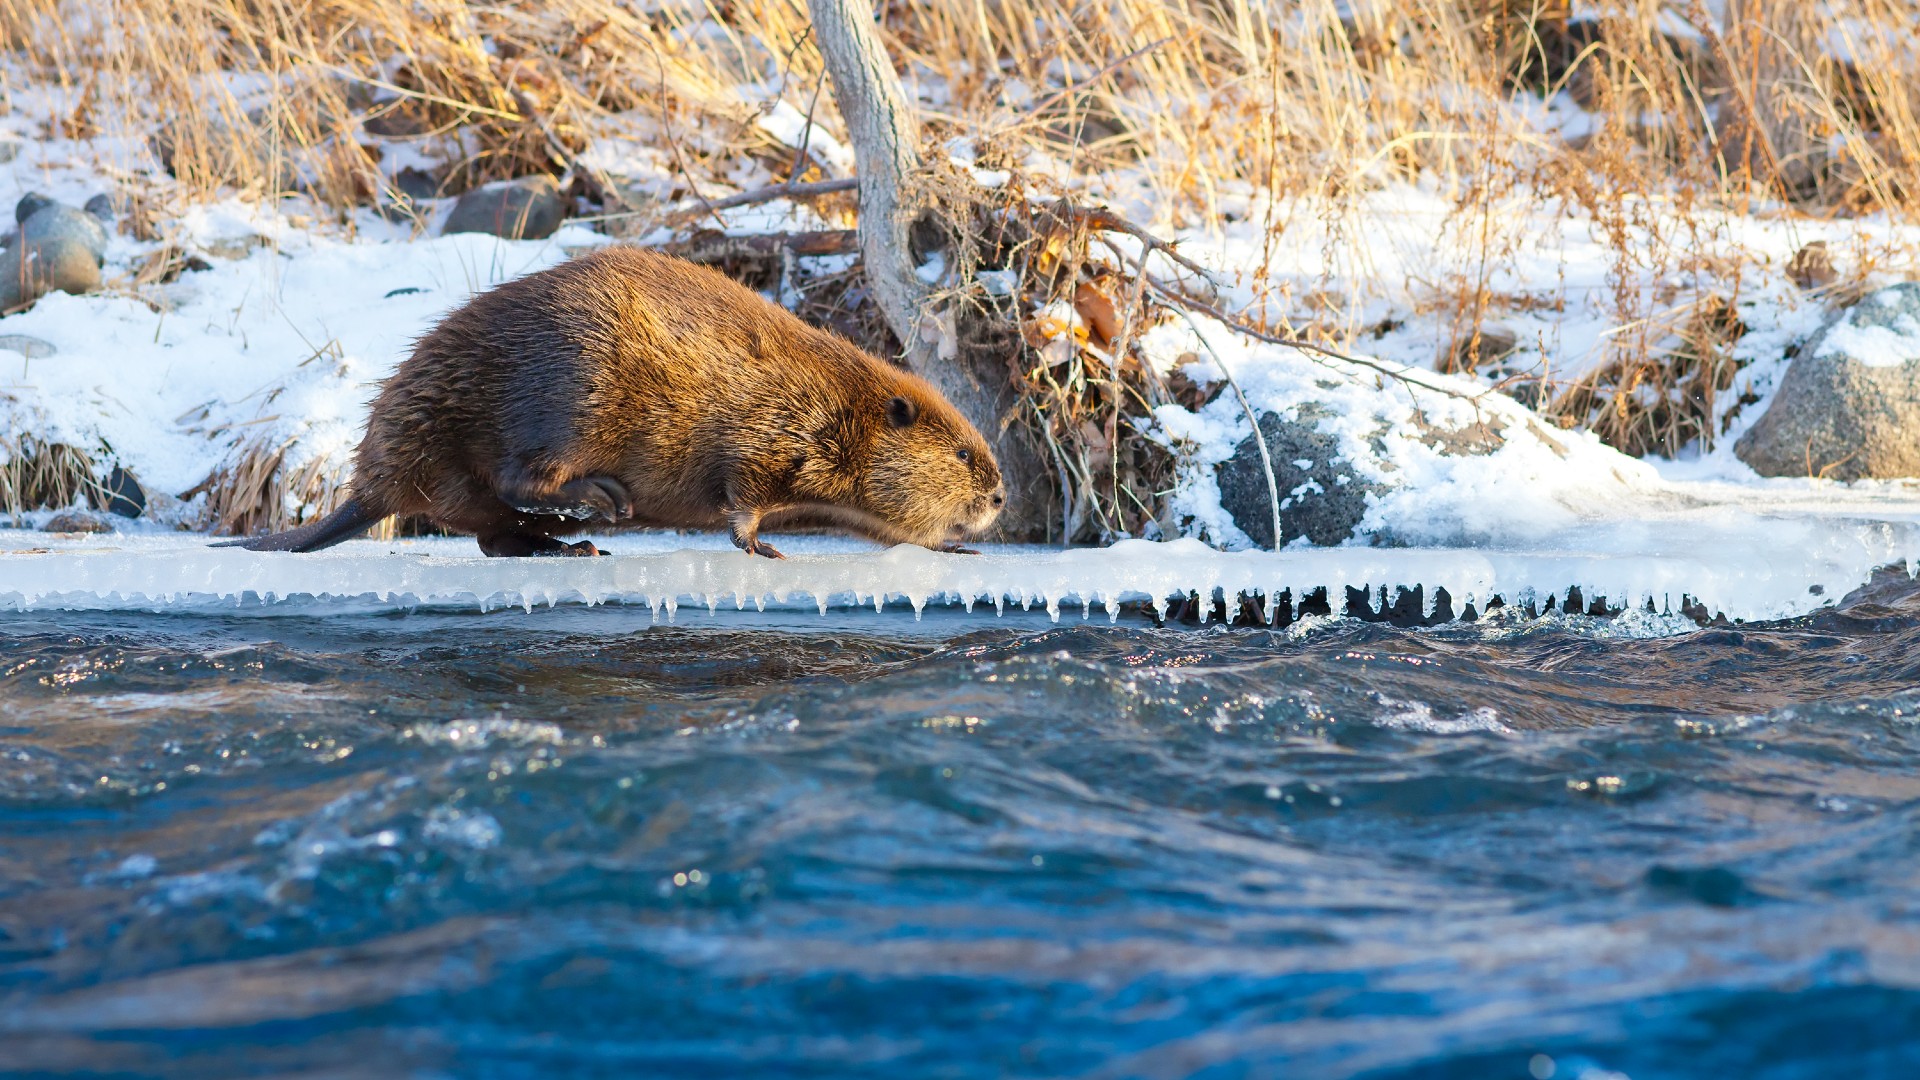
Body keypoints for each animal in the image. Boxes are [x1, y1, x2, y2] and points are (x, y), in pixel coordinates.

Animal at [220, 244, 1006, 553]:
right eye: (967, 454)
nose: (1001, 498)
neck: (836, 396)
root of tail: (372, 486)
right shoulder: (767, 427)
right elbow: (743, 493)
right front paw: (760, 544)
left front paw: (955, 547)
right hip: (578, 390)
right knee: (521, 479)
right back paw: (597, 506)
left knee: (490, 533)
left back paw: (570, 544)